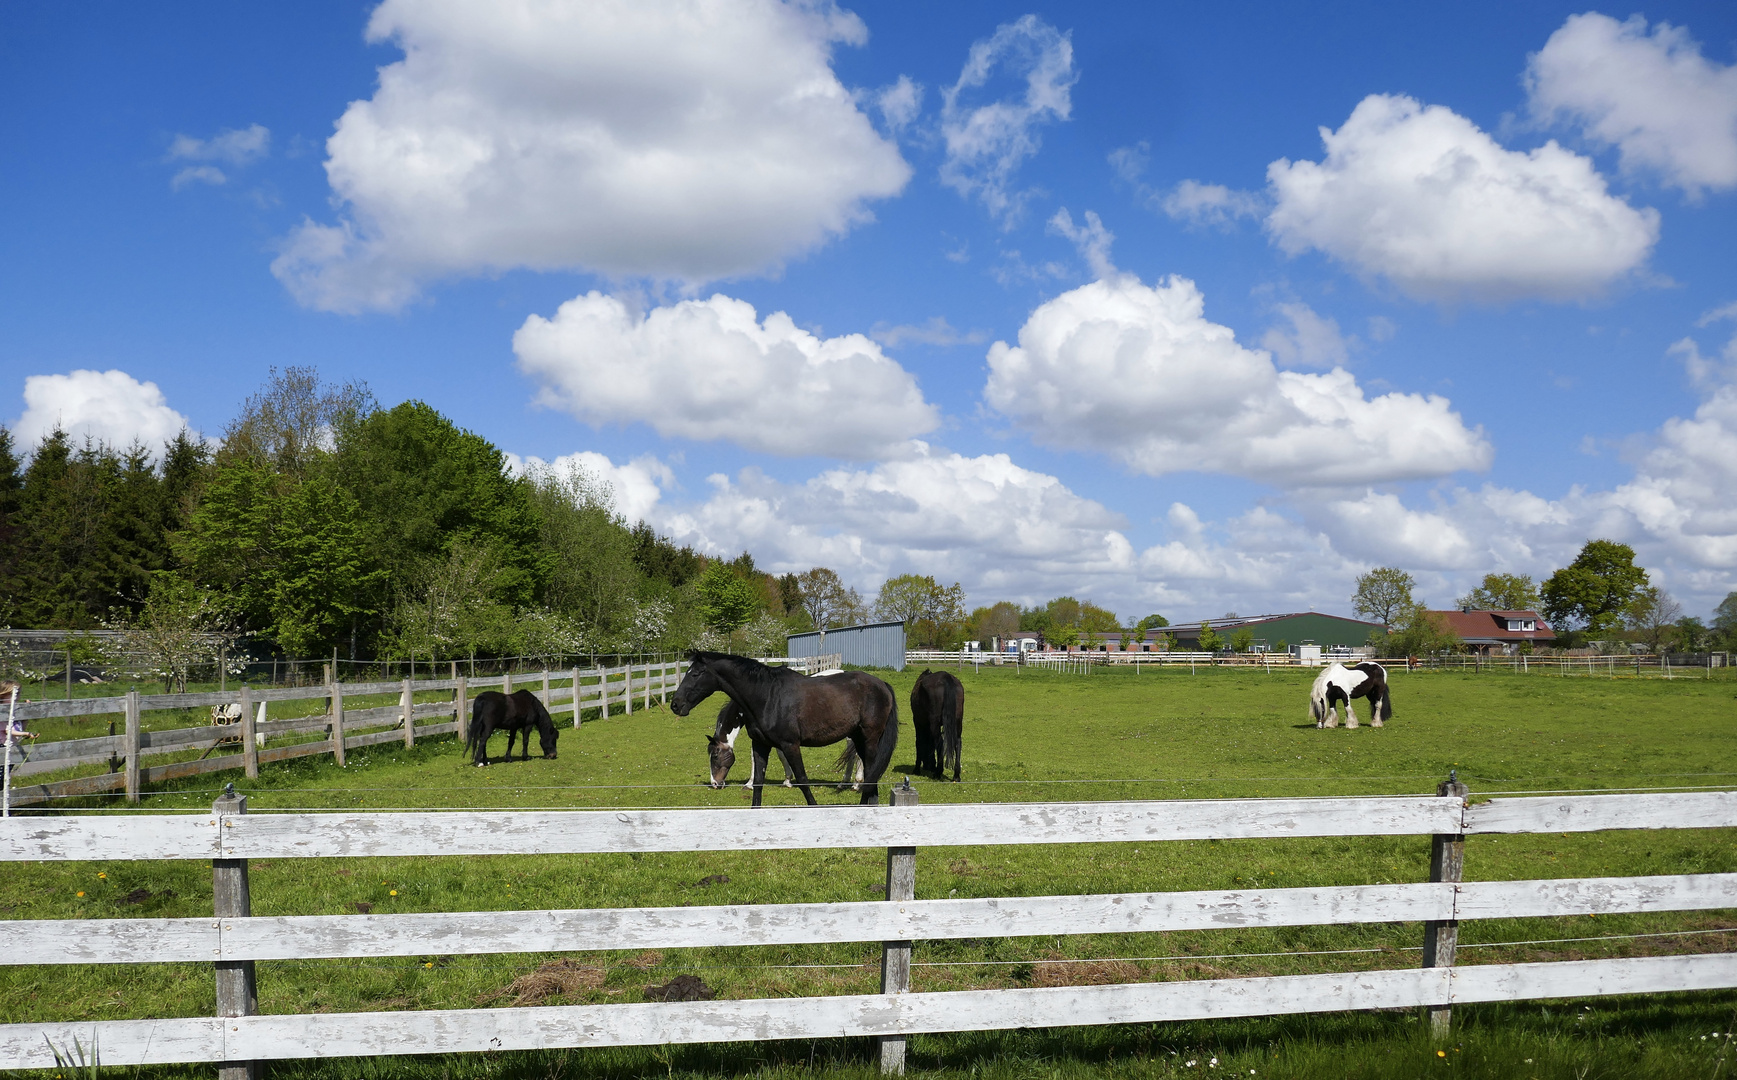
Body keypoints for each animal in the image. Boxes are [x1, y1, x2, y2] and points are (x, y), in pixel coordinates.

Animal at [670, 645, 896, 809]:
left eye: (695, 674)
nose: (675, 704)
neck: (766, 696)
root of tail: (882, 684)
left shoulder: (790, 745)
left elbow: (803, 780)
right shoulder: (761, 744)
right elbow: (759, 781)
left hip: (869, 738)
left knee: (870, 770)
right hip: (857, 737)